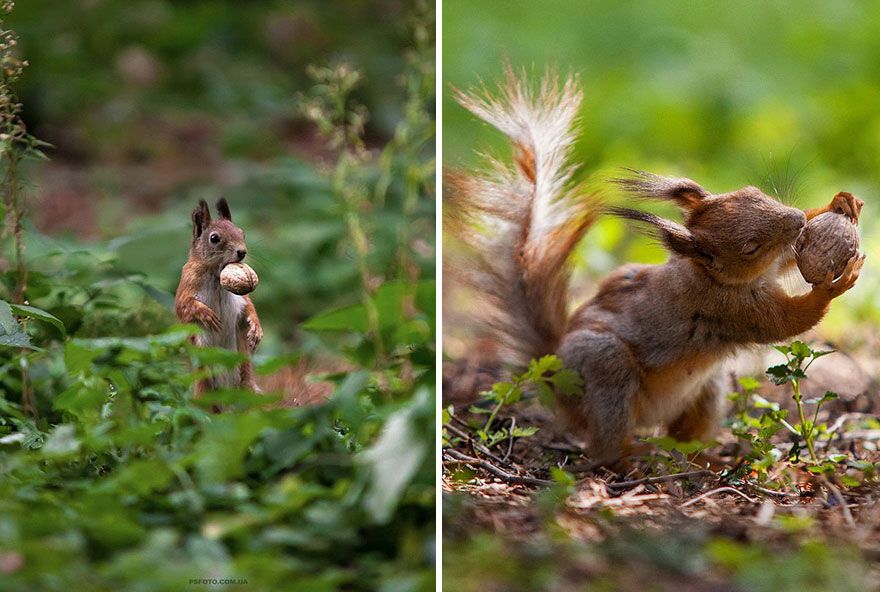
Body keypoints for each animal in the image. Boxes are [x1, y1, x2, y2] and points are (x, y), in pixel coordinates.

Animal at [174, 199, 262, 398]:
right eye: (214, 238)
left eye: (242, 233)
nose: (242, 252)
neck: (216, 276)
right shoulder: (186, 285)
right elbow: (184, 306)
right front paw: (206, 314)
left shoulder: (241, 299)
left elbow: (249, 308)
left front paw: (256, 329)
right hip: (204, 386)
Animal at [446, 69, 868, 464]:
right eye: (750, 246)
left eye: (754, 192)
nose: (795, 219)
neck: (704, 273)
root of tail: (553, 379)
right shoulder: (729, 308)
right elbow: (785, 322)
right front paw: (833, 285)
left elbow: (787, 260)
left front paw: (841, 203)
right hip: (605, 367)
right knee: (604, 447)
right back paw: (631, 457)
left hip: (708, 386)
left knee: (682, 436)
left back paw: (702, 455)